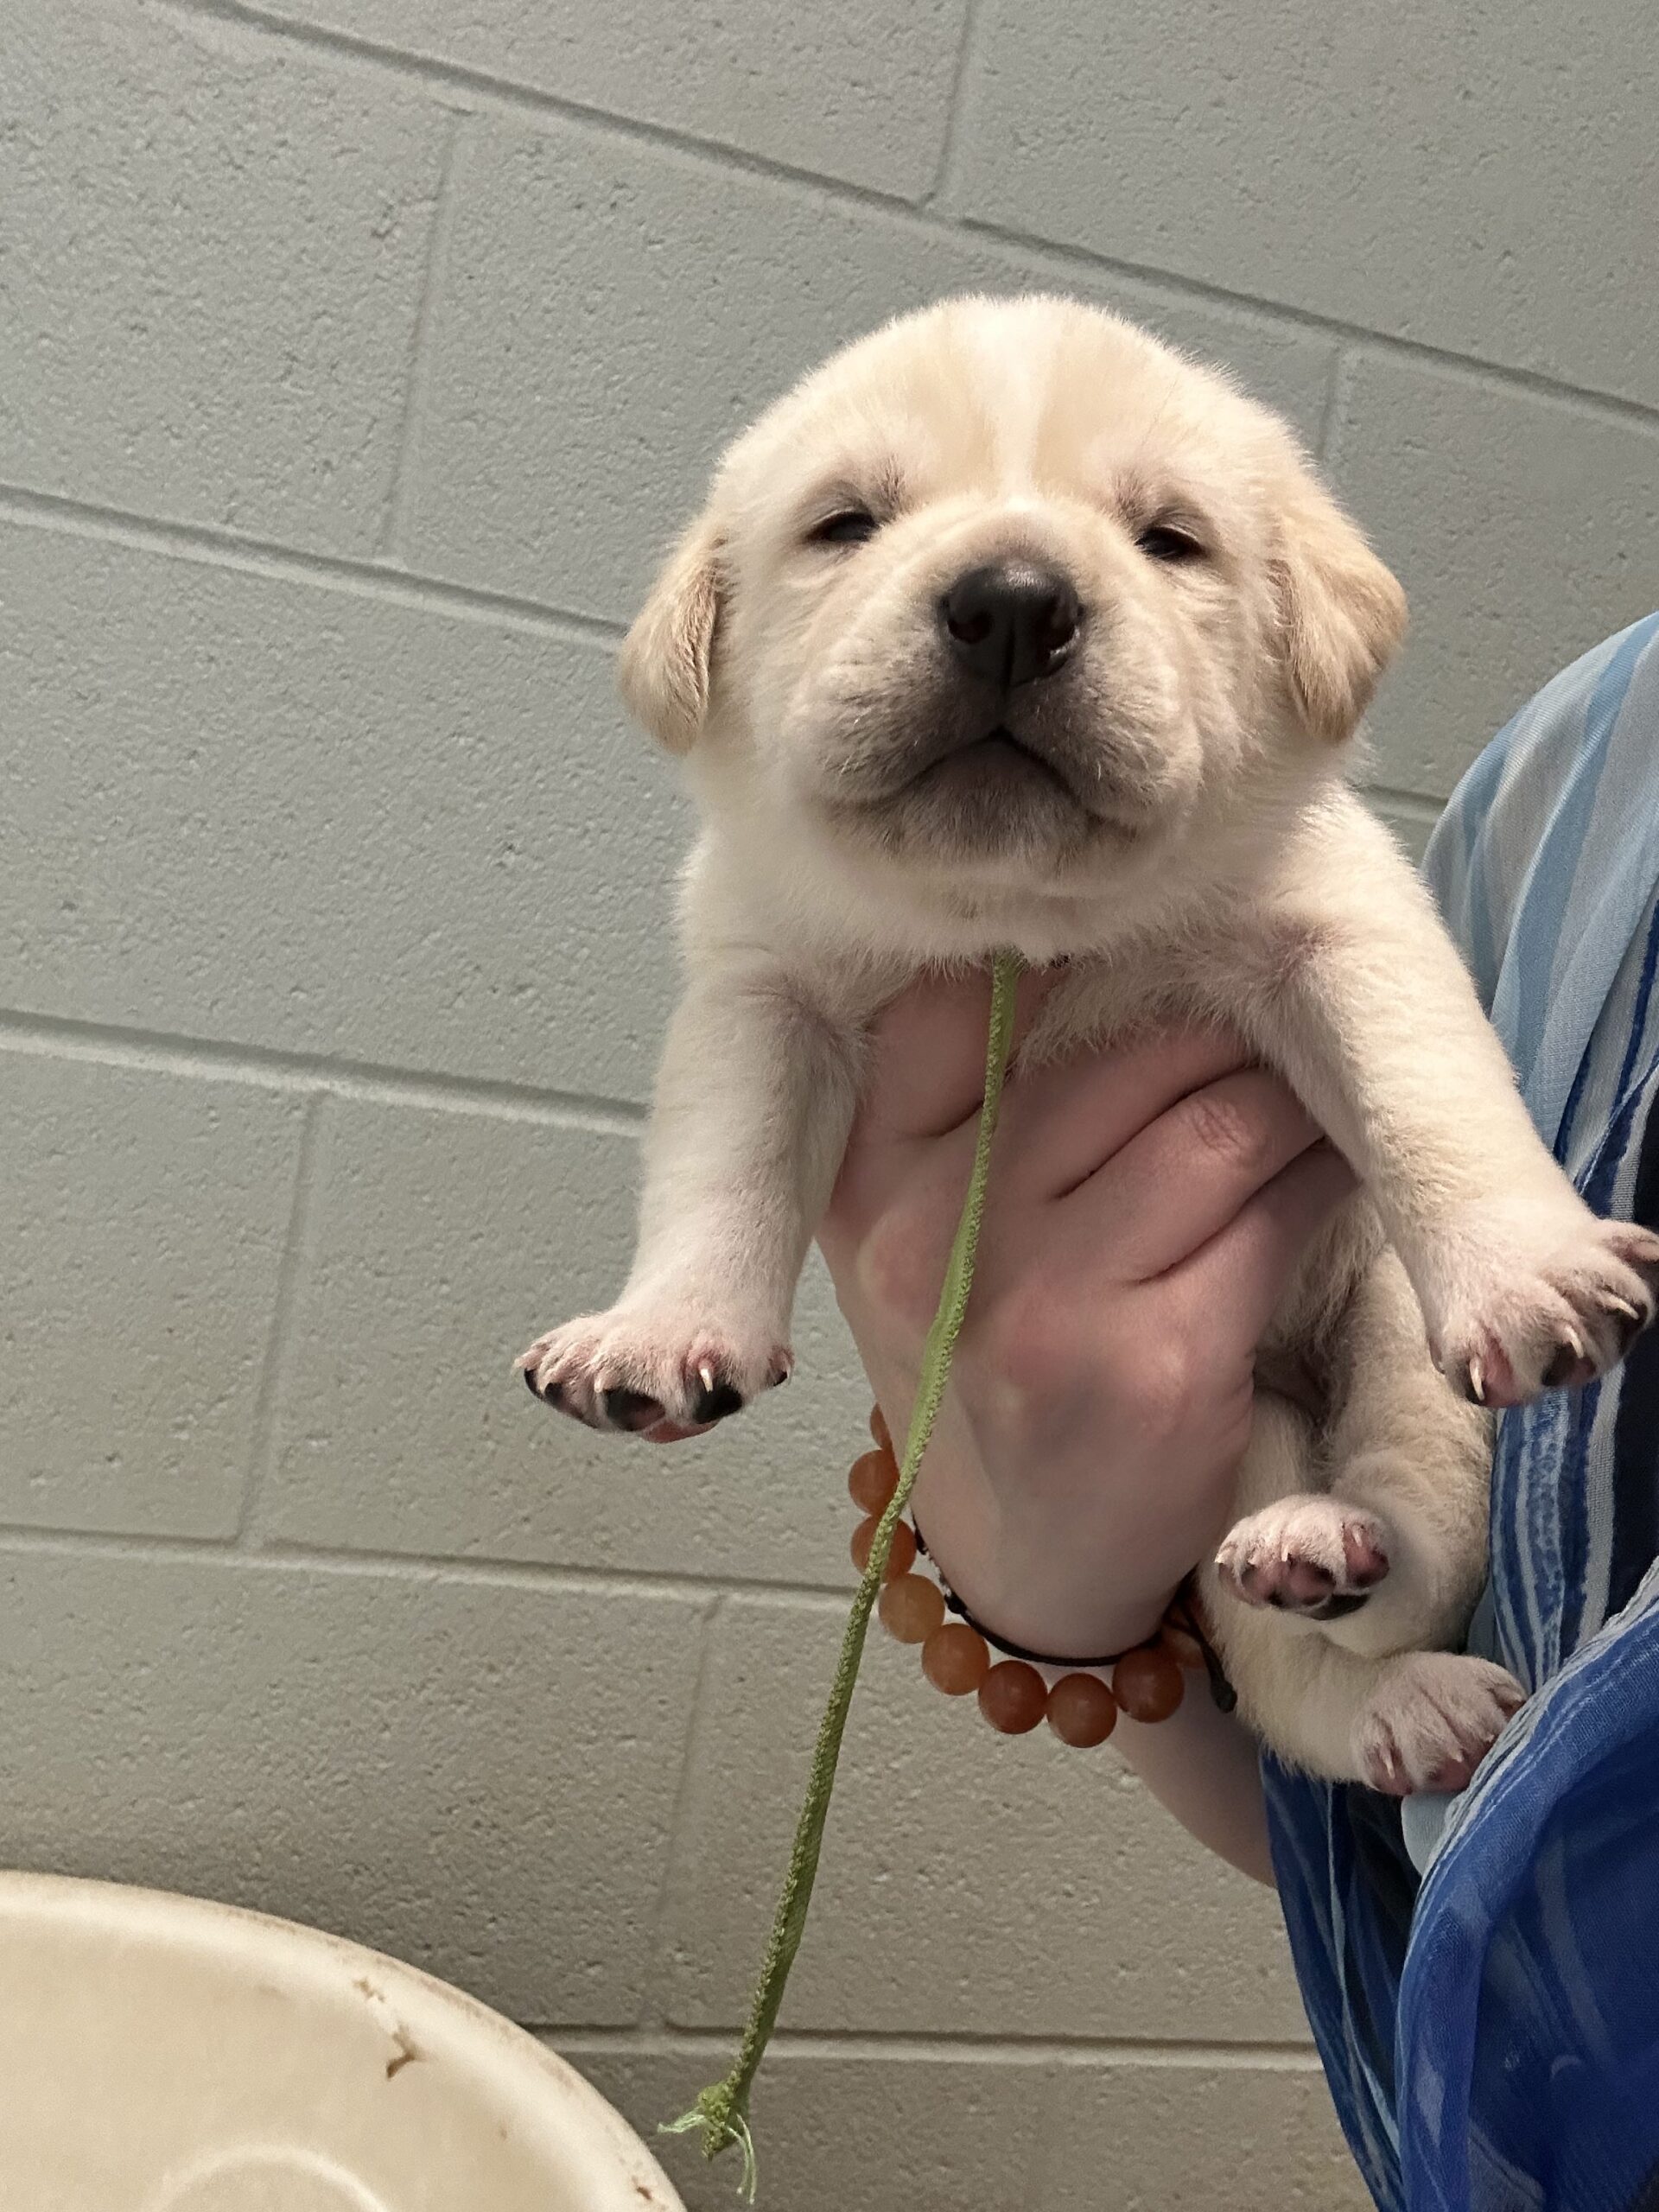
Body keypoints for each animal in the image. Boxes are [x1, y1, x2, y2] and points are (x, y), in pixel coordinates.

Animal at [518, 295, 1659, 1790]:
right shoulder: (762, 995)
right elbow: (723, 1174)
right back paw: (1356, 1643)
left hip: (1401, 1365)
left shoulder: (1343, 928)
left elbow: (1430, 1099)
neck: (1023, 928)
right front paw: (665, 1329)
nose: (1011, 602)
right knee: (1288, 1666)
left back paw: (1368, 1596)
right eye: (844, 525)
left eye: (1170, 539)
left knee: (1408, 1547)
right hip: (1233, 1456)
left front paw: (1528, 1265)